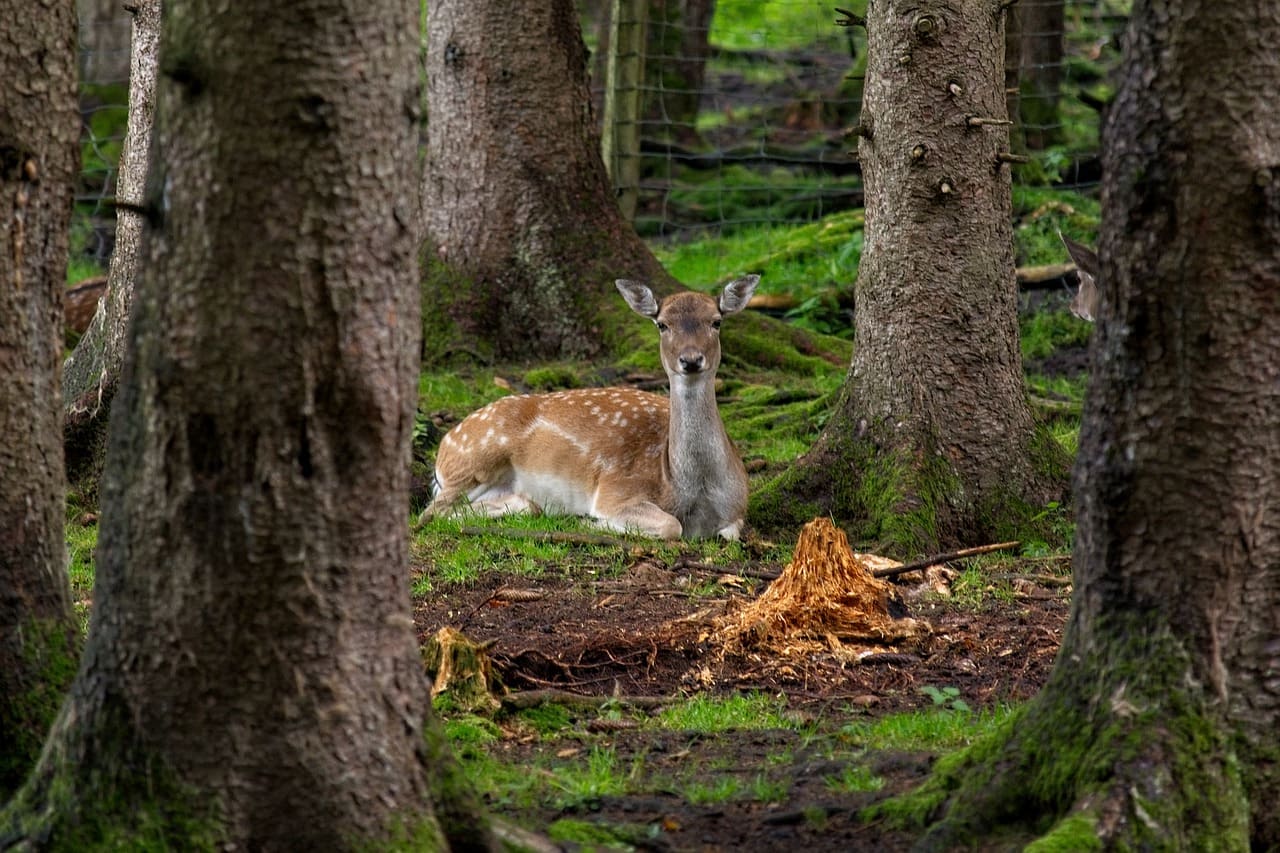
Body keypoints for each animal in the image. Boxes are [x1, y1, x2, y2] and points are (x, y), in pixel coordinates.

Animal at [419, 272, 757, 537]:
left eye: (716, 321)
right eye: (662, 324)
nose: (690, 360)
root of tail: (444, 446)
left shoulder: (739, 510)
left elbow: (730, 531)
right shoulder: (616, 490)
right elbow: (670, 525)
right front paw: (592, 522)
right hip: (474, 459)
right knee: (430, 513)